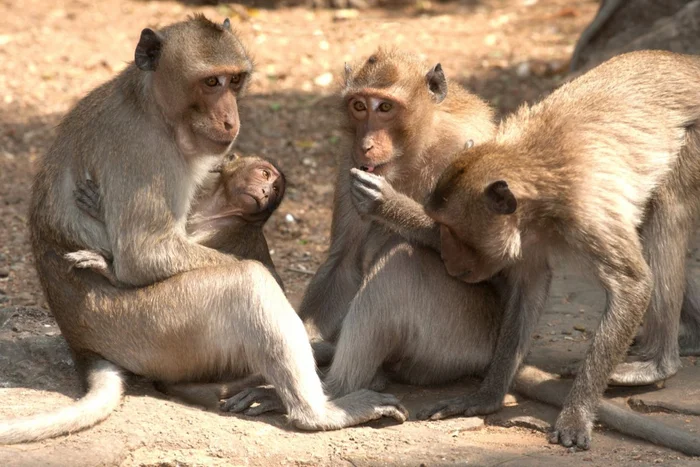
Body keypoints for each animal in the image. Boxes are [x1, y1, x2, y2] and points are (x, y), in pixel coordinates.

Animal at [1, 14, 404, 446]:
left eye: (236, 80)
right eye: (211, 82)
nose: (231, 118)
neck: (149, 105)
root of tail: (82, 346)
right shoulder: (144, 152)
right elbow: (144, 255)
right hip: (148, 329)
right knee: (247, 283)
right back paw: (317, 412)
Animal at [422, 50, 700, 450]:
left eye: (449, 229)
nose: (445, 255)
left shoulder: (587, 214)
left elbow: (633, 285)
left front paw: (576, 413)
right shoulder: (525, 236)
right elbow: (529, 290)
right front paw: (486, 396)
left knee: (668, 205)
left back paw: (658, 364)